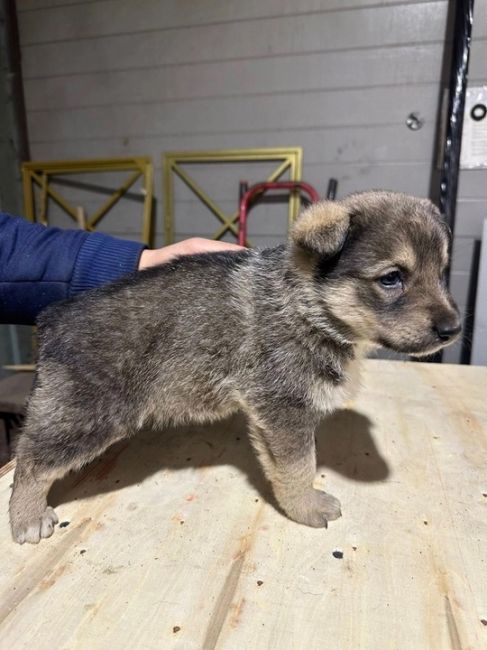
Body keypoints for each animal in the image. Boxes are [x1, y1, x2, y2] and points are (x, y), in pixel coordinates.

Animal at [10, 189, 462, 540]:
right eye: (391, 278)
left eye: (441, 273)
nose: (454, 329)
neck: (307, 308)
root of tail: (53, 319)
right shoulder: (284, 409)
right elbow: (301, 466)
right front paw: (307, 506)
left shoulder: (271, 416)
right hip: (87, 416)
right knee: (31, 461)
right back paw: (26, 517)